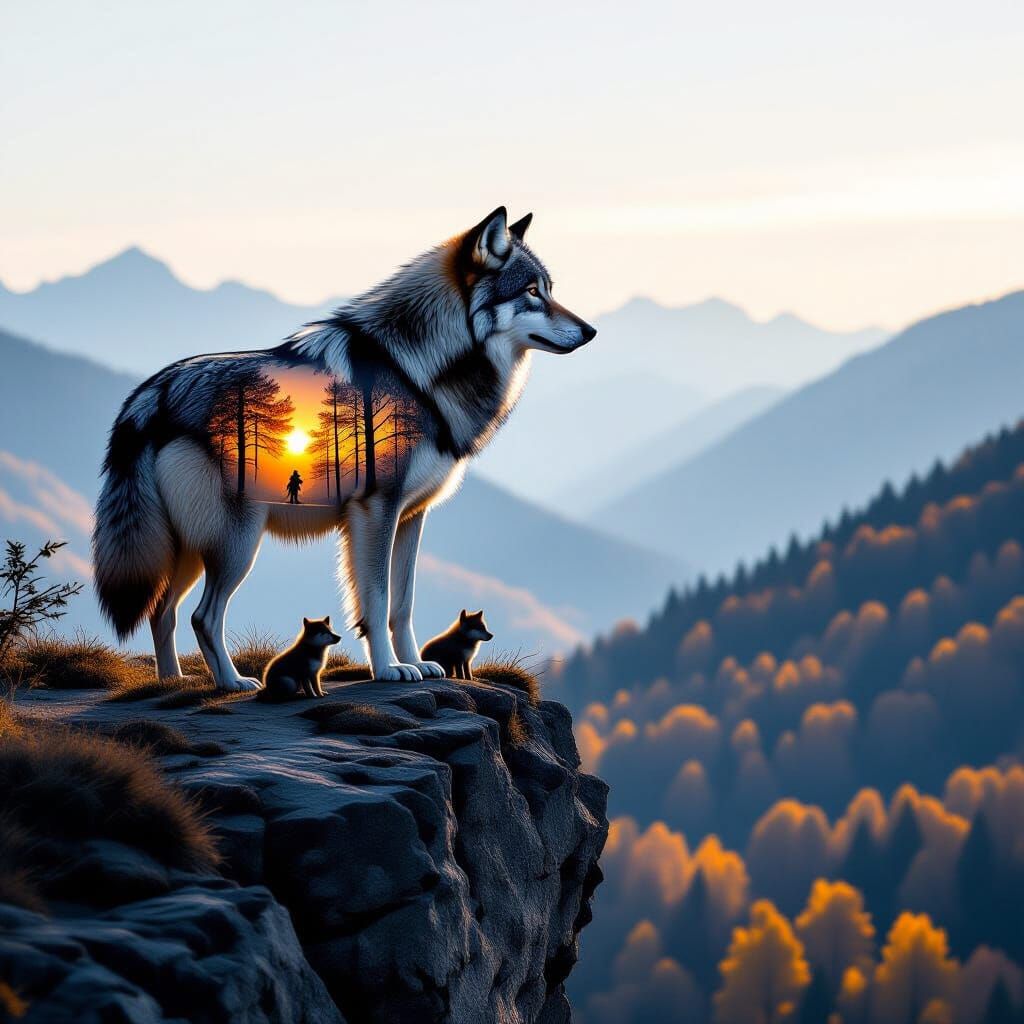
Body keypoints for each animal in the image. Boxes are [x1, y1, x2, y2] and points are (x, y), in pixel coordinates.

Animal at [93, 208, 596, 690]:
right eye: (531, 292)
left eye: (549, 290)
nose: (590, 331)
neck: (416, 371)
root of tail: (152, 394)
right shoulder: (376, 511)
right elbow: (376, 600)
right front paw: (390, 670)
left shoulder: (411, 517)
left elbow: (402, 605)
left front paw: (416, 663)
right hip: (236, 543)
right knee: (202, 616)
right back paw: (230, 682)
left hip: (190, 549)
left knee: (162, 611)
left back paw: (172, 682)